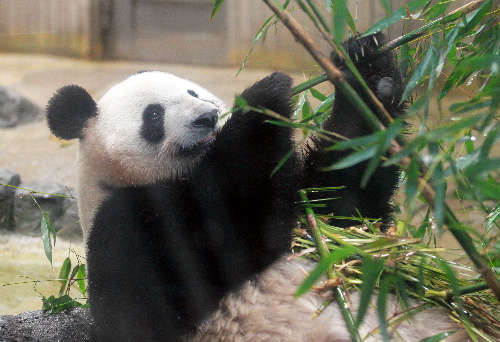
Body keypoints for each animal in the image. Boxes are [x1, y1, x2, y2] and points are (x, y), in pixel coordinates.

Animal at [47, 33, 460, 340]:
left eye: (192, 93)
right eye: (153, 115)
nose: (207, 117)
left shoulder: (315, 221)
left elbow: (346, 202)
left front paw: (367, 67)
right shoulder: (130, 230)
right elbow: (235, 228)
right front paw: (265, 97)